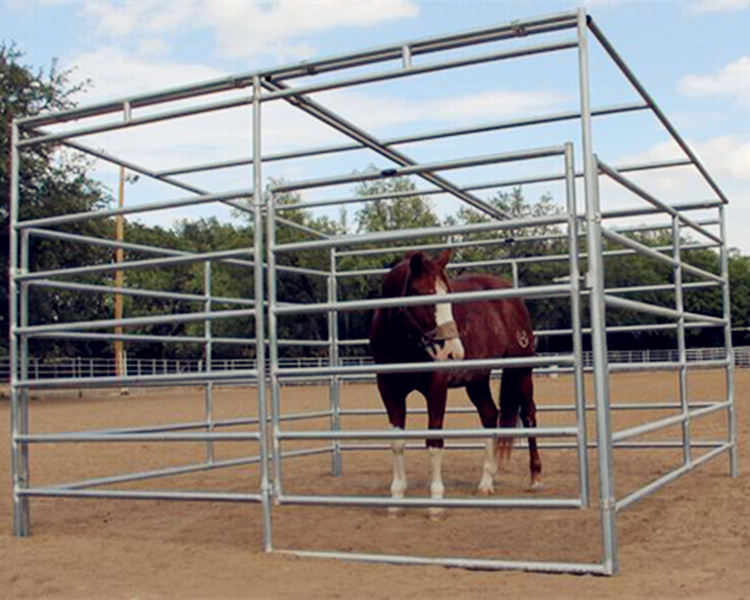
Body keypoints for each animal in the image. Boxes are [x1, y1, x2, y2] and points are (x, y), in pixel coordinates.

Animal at [368, 248, 540, 516]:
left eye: (448, 296)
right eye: (423, 295)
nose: (453, 353)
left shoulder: (436, 388)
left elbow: (434, 441)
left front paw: (436, 503)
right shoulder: (389, 389)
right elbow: (397, 442)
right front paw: (396, 500)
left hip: (520, 371)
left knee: (529, 415)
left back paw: (535, 478)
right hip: (477, 380)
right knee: (490, 415)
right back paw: (486, 482)